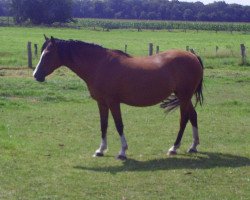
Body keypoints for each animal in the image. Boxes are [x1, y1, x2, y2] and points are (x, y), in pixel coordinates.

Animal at [33, 35, 204, 161]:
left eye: (47, 54)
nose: (36, 75)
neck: (99, 64)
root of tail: (192, 56)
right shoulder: (101, 103)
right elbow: (104, 125)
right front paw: (100, 150)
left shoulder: (113, 102)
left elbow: (118, 125)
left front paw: (122, 152)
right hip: (185, 97)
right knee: (193, 116)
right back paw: (193, 146)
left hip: (184, 97)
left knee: (184, 119)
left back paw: (174, 148)